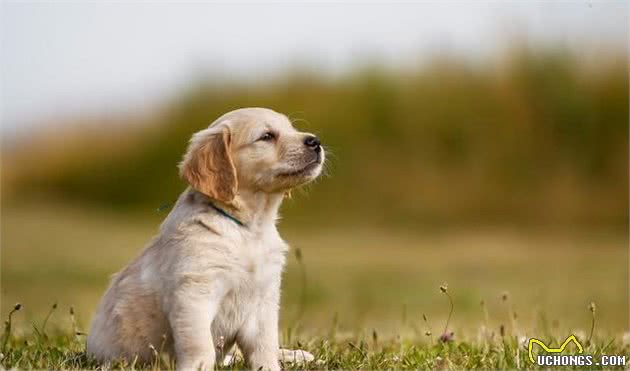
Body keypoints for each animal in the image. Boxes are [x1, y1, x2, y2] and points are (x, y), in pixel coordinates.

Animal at [87, 106, 326, 370]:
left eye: (292, 128)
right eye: (267, 136)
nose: (315, 141)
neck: (249, 229)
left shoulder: (264, 299)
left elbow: (264, 346)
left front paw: (271, 365)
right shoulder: (194, 295)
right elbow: (201, 346)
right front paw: (197, 366)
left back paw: (299, 355)